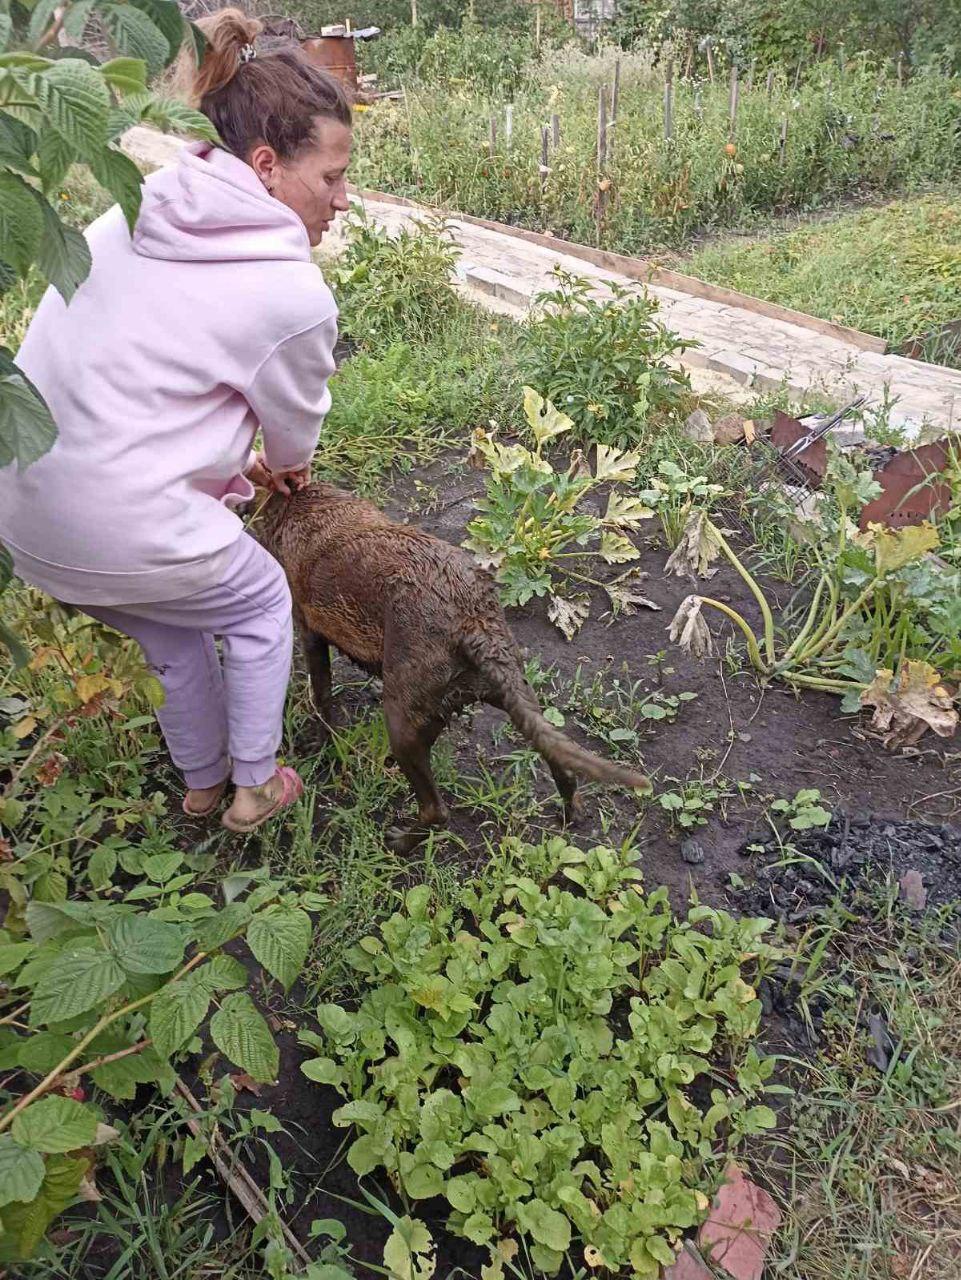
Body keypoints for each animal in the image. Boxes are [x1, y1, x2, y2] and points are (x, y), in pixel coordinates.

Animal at [261, 483, 655, 855]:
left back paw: (400, 843)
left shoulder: (309, 630)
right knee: (561, 765)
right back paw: (571, 813)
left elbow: (322, 698)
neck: (299, 500)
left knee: (436, 810)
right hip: (507, 689)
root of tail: (475, 625)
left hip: (403, 718)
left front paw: (319, 743)